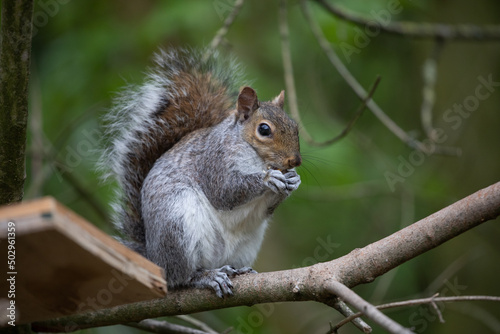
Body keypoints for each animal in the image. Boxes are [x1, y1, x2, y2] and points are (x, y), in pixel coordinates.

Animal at [98, 48, 300, 296]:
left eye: (295, 127)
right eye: (264, 129)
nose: (295, 161)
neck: (257, 157)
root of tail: (154, 259)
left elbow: (267, 209)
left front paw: (293, 180)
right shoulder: (213, 161)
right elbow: (224, 192)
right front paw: (268, 179)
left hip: (246, 244)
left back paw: (237, 270)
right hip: (176, 225)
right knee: (181, 277)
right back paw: (206, 276)